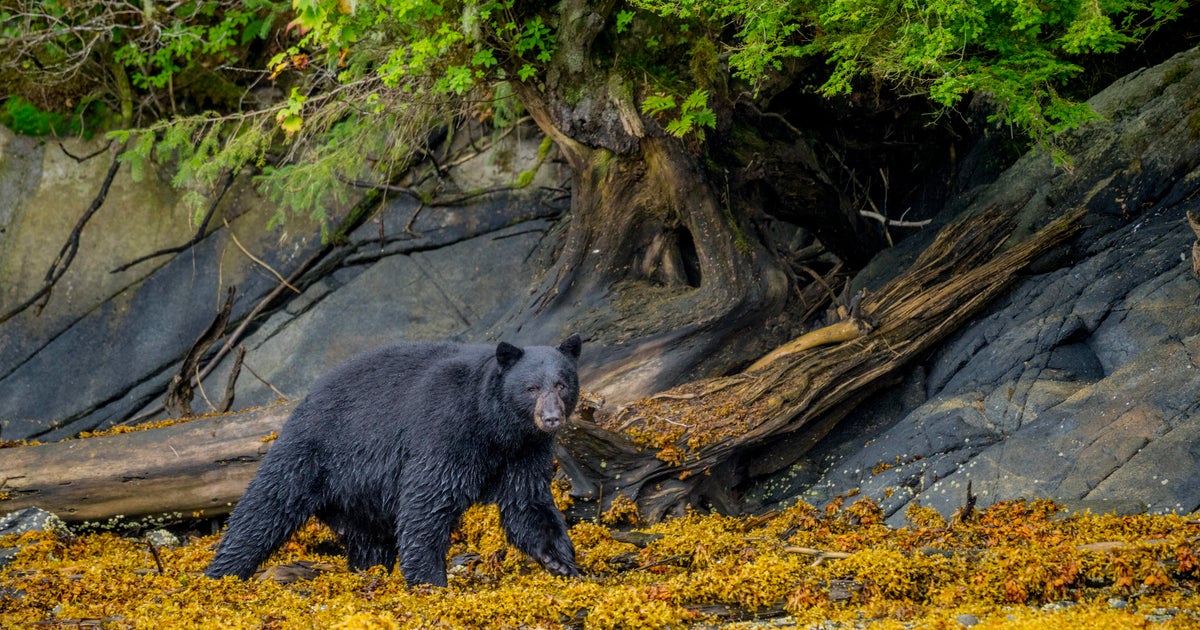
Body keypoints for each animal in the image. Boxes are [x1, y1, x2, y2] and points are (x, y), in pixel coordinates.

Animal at [204, 334, 583, 587]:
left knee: (370, 542)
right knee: (263, 509)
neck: (497, 427)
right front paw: (429, 582)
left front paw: (562, 562)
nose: (551, 418)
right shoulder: (447, 431)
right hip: (313, 453)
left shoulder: (524, 452)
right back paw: (220, 574)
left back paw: (370, 573)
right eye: (531, 388)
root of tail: (305, 397)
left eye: (562, 384)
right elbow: (427, 501)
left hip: (361, 499)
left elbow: (527, 503)